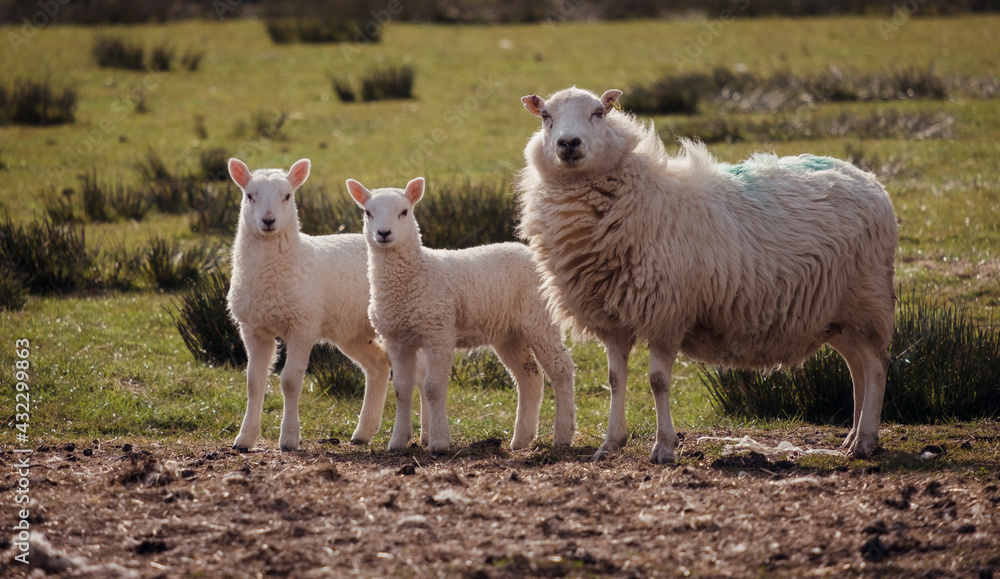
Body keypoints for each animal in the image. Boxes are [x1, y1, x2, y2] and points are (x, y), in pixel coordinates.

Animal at [226, 157, 394, 451]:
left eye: (287, 196)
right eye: (249, 196)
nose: (268, 221)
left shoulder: (302, 325)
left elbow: (290, 381)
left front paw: (289, 439)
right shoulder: (253, 329)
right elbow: (254, 383)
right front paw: (244, 439)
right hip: (353, 330)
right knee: (379, 366)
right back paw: (363, 432)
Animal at [346, 176, 576, 454]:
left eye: (404, 212)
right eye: (368, 213)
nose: (383, 233)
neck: (415, 274)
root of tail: (531, 253)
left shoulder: (438, 333)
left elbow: (433, 388)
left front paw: (438, 442)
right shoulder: (397, 340)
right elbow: (402, 389)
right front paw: (398, 442)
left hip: (540, 319)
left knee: (561, 370)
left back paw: (563, 436)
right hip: (509, 333)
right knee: (529, 376)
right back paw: (521, 439)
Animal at [517, 87, 898, 463]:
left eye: (598, 112)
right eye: (546, 116)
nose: (569, 143)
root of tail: (868, 179)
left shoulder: (666, 313)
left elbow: (657, 381)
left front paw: (664, 447)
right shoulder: (612, 320)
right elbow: (614, 380)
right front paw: (611, 443)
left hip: (866, 298)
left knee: (876, 364)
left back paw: (864, 441)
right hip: (835, 313)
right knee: (857, 367)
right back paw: (852, 437)